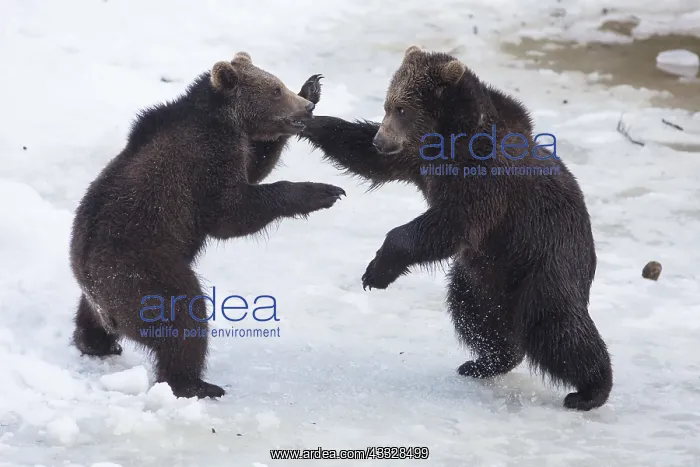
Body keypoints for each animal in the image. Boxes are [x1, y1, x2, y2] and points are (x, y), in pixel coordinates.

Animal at [69, 51, 346, 399]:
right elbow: (231, 212)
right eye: (275, 90)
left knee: (88, 315)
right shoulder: (204, 161)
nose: (305, 108)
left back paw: (95, 343)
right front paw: (323, 192)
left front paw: (313, 86)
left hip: (99, 285)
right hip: (143, 270)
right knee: (183, 317)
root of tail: (105, 304)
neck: (222, 120)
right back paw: (196, 384)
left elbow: (255, 165)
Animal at [298, 46, 613, 411]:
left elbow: (449, 224)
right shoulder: (418, 158)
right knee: (474, 313)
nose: (381, 140)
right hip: (484, 276)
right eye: (387, 105)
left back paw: (591, 390)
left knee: (556, 327)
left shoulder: (485, 183)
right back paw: (485, 361)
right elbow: (365, 157)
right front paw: (310, 114)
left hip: (543, 263)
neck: (450, 140)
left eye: (402, 108)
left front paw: (376, 271)